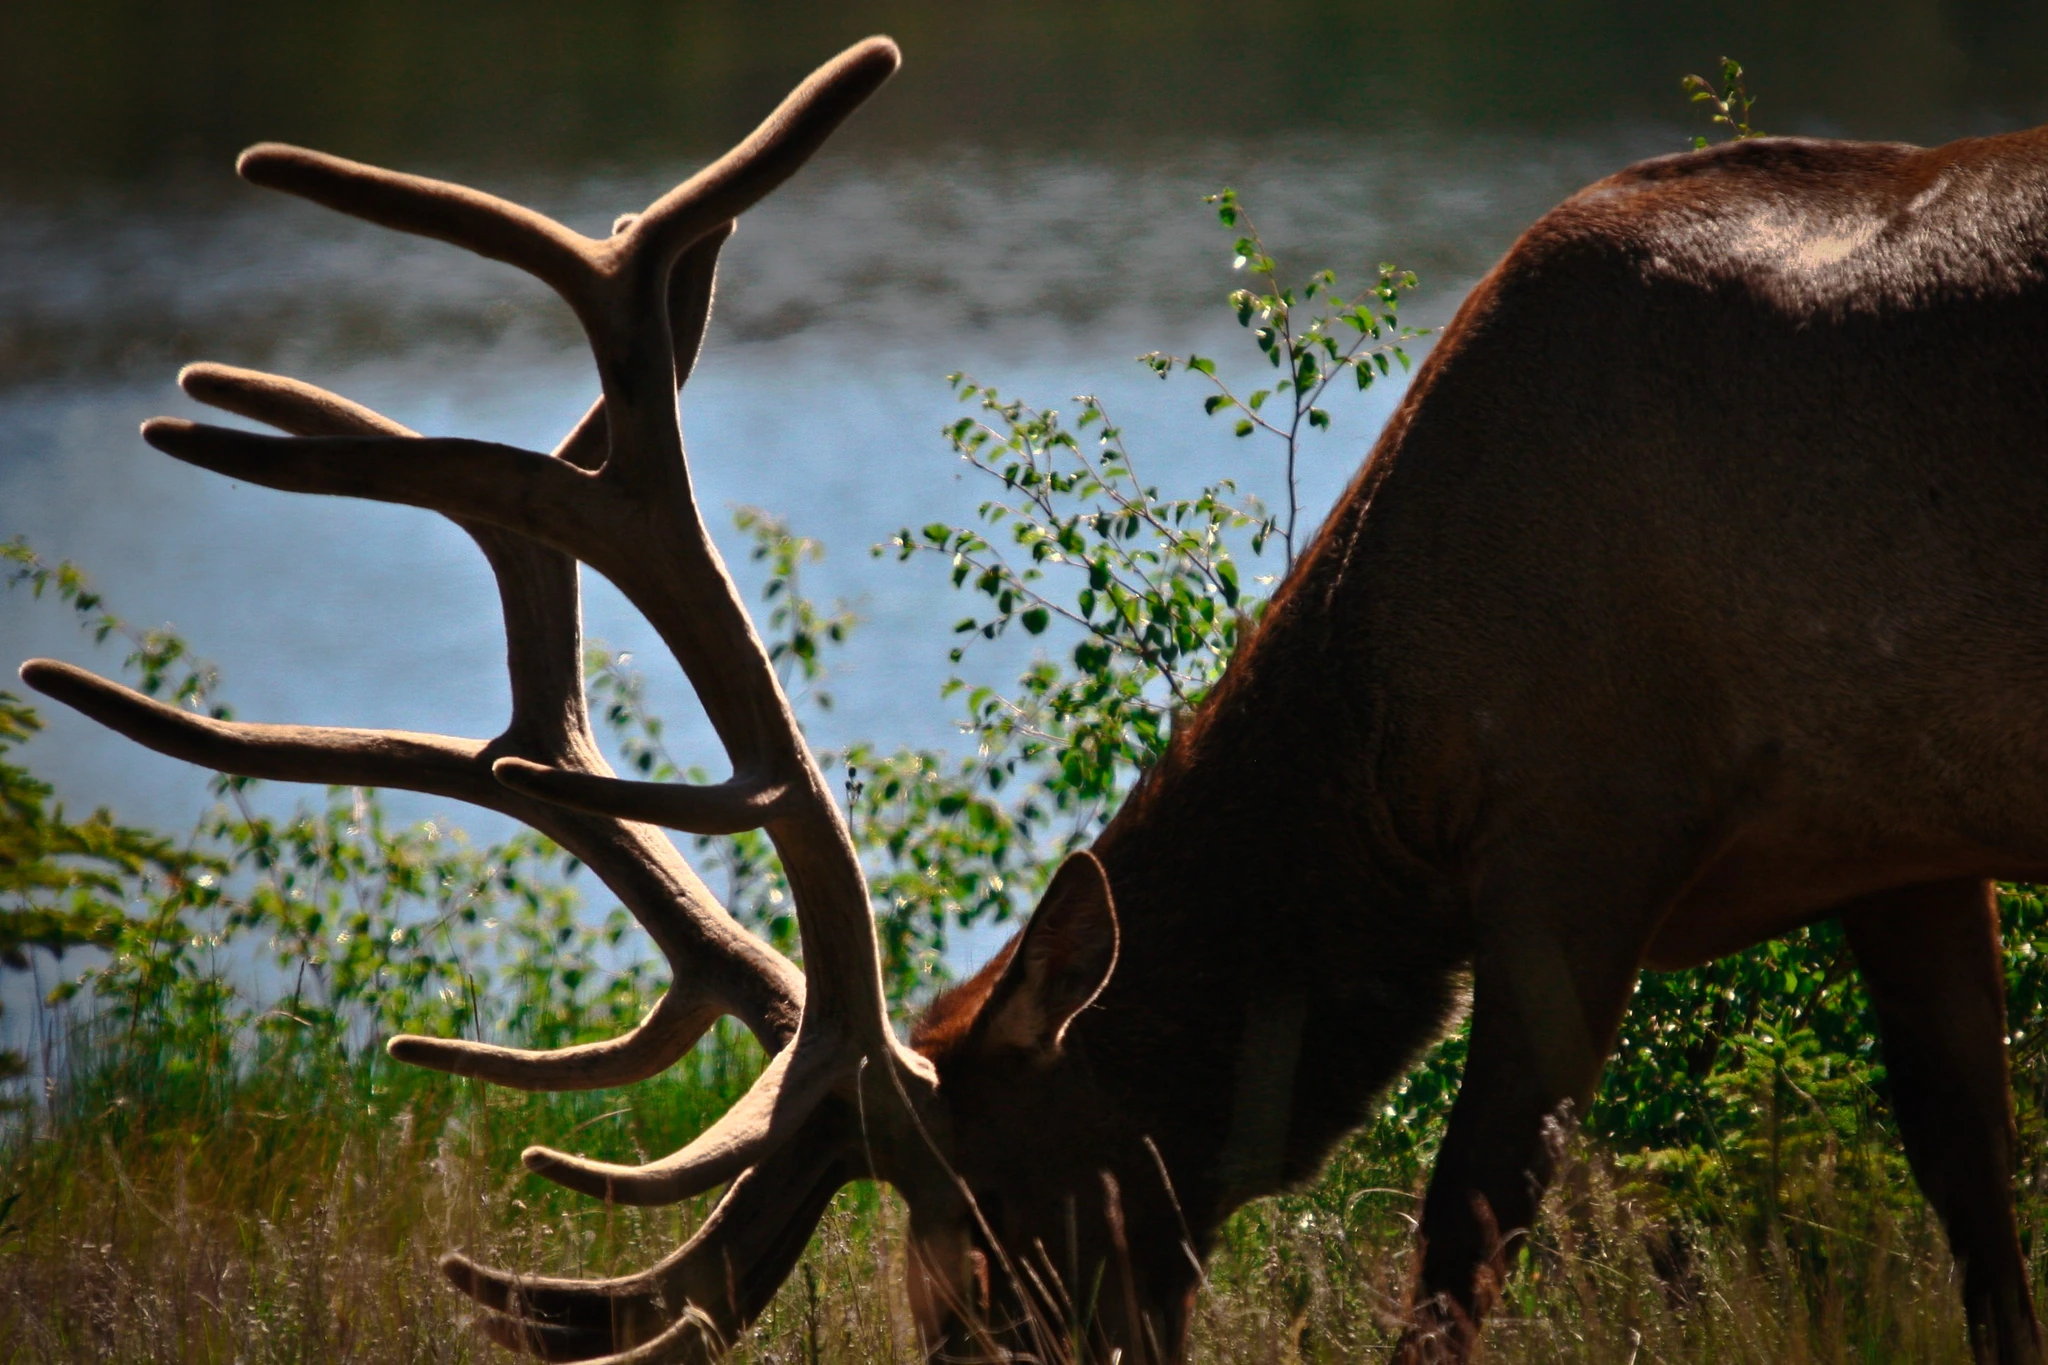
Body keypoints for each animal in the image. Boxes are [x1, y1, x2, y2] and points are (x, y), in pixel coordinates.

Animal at [19, 31, 2048, 1365]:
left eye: (985, 1279)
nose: (967, 1338)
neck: (1395, 736)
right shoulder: (1894, 836)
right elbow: (1976, 1195)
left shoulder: (1578, 835)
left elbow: (1456, 1242)